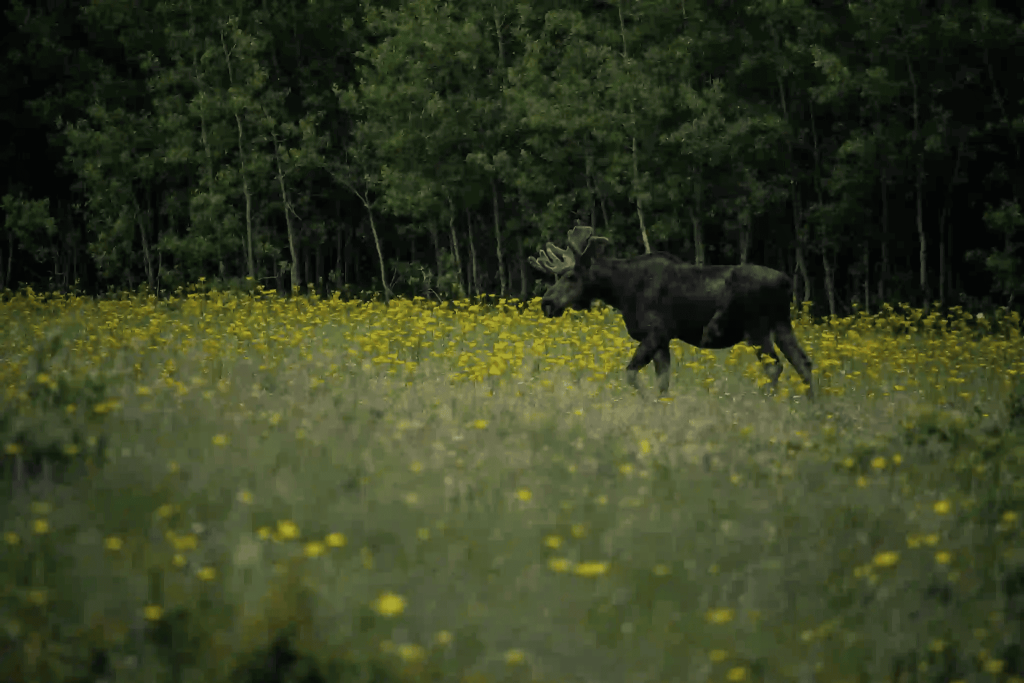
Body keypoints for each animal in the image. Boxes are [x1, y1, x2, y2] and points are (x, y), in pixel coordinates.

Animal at [529, 226, 814, 398]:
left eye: (571, 276)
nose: (547, 302)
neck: (621, 292)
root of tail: (786, 283)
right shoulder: (663, 340)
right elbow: (663, 382)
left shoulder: (656, 333)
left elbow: (631, 373)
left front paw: (645, 400)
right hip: (781, 324)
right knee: (803, 361)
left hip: (756, 329)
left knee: (774, 367)